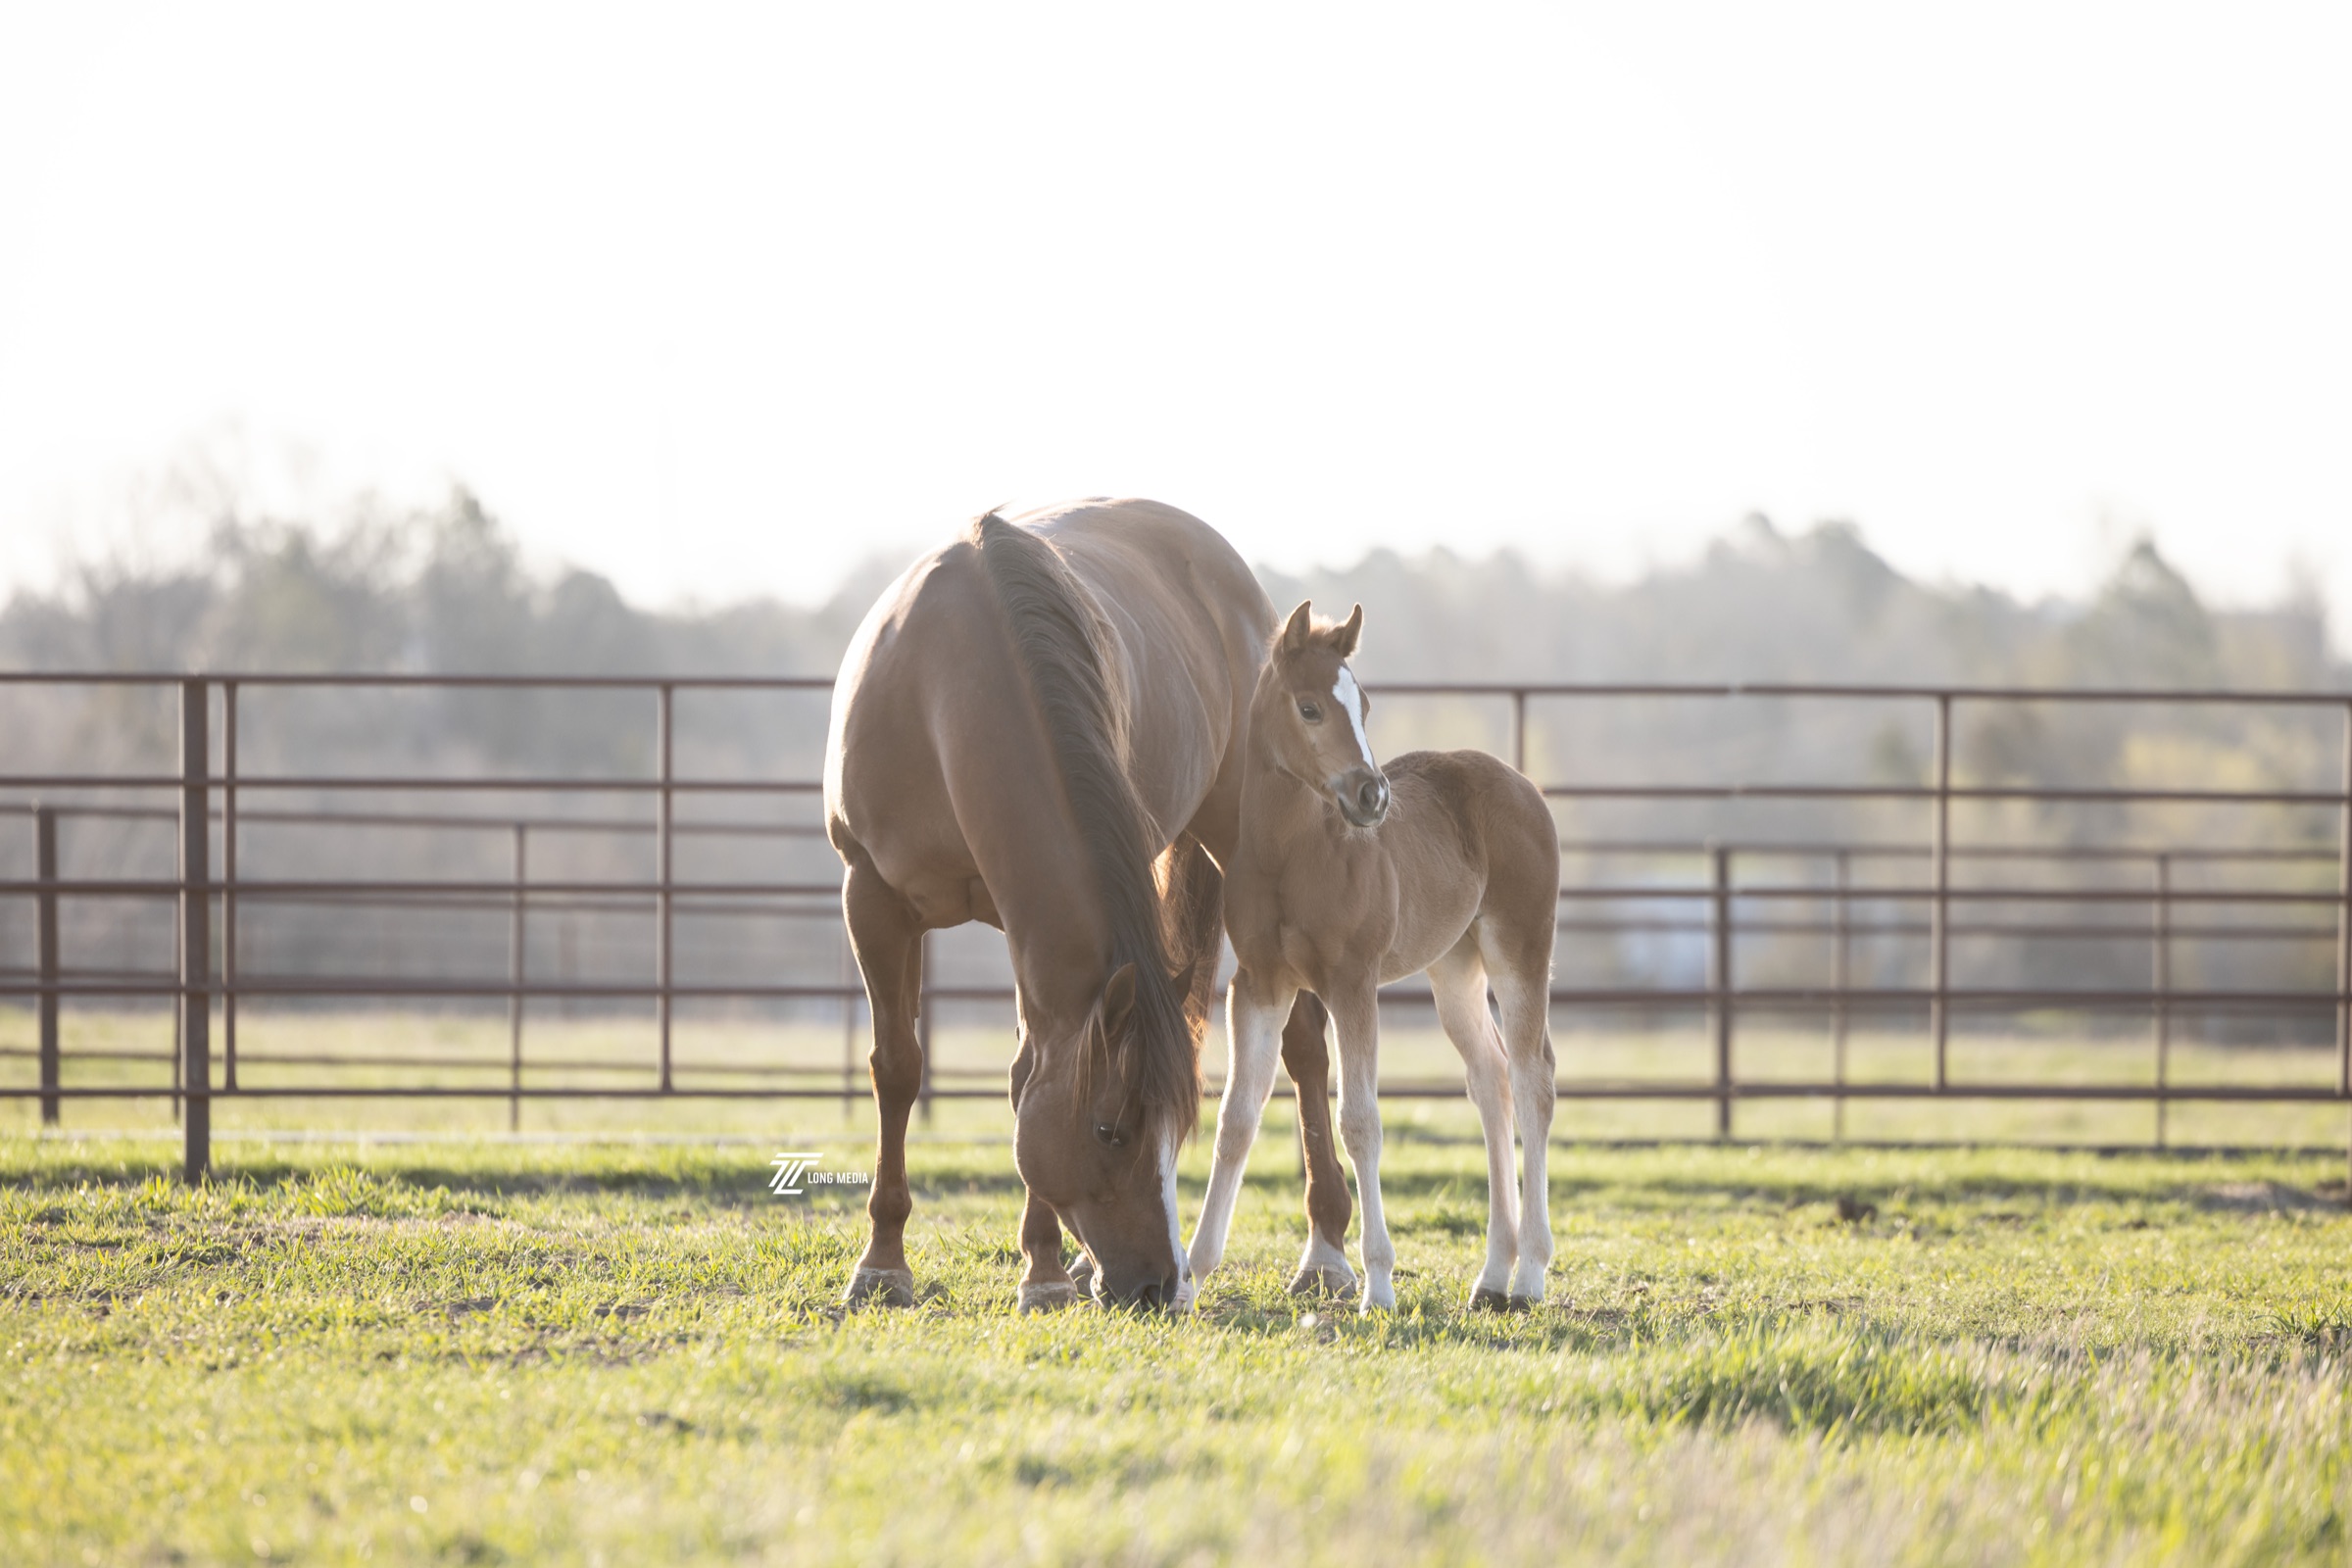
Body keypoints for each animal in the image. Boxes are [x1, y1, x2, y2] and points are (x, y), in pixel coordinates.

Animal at [824, 500, 1354, 1310]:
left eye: (1172, 1131)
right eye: (1110, 1131)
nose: (1156, 1286)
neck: (945, 687)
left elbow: (1026, 1073)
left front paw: (1040, 1268)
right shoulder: (872, 896)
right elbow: (901, 1069)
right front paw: (883, 1264)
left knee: (1300, 1044)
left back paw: (1325, 1251)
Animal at [1185, 601, 1560, 1312]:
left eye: (1363, 704)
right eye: (1309, 708)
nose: (1372, 797)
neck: (1292, 854)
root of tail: (1522, 783)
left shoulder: (1351, 982)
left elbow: (1359, 1121)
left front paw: (1379, 1284)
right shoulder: (1259, 985)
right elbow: (1236, 1119)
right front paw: (1190, 1273)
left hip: (1520, 949)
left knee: (1533, 1082)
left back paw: (1528, 1275)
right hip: (1454, 966)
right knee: (1490, 1079)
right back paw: (1491, 1276)